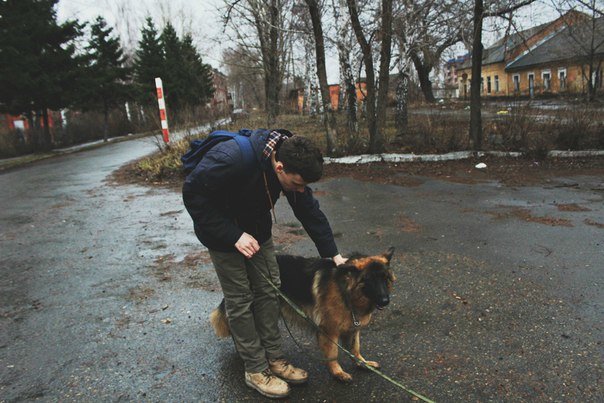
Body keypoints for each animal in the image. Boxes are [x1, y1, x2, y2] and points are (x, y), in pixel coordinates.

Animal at [211, 248, 396, 384]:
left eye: (384, 278)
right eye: (369, 279)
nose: (385, 301)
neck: (345, 290)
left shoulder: (353, 327)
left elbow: (355, 348)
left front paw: (362, 363)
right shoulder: (329, 331)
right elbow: (333, 353)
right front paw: (337, 372)